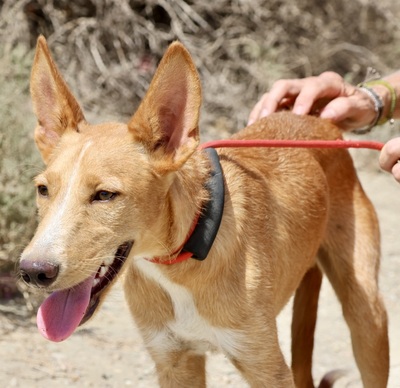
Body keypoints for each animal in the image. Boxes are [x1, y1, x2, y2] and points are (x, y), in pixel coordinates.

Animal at [20, 34, 390, 386]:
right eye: (43, 190)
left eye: (105, 195)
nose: (33, 271)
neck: (182, 260)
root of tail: (316, 120)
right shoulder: (174, 361)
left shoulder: (266, 367)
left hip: (367, 319)